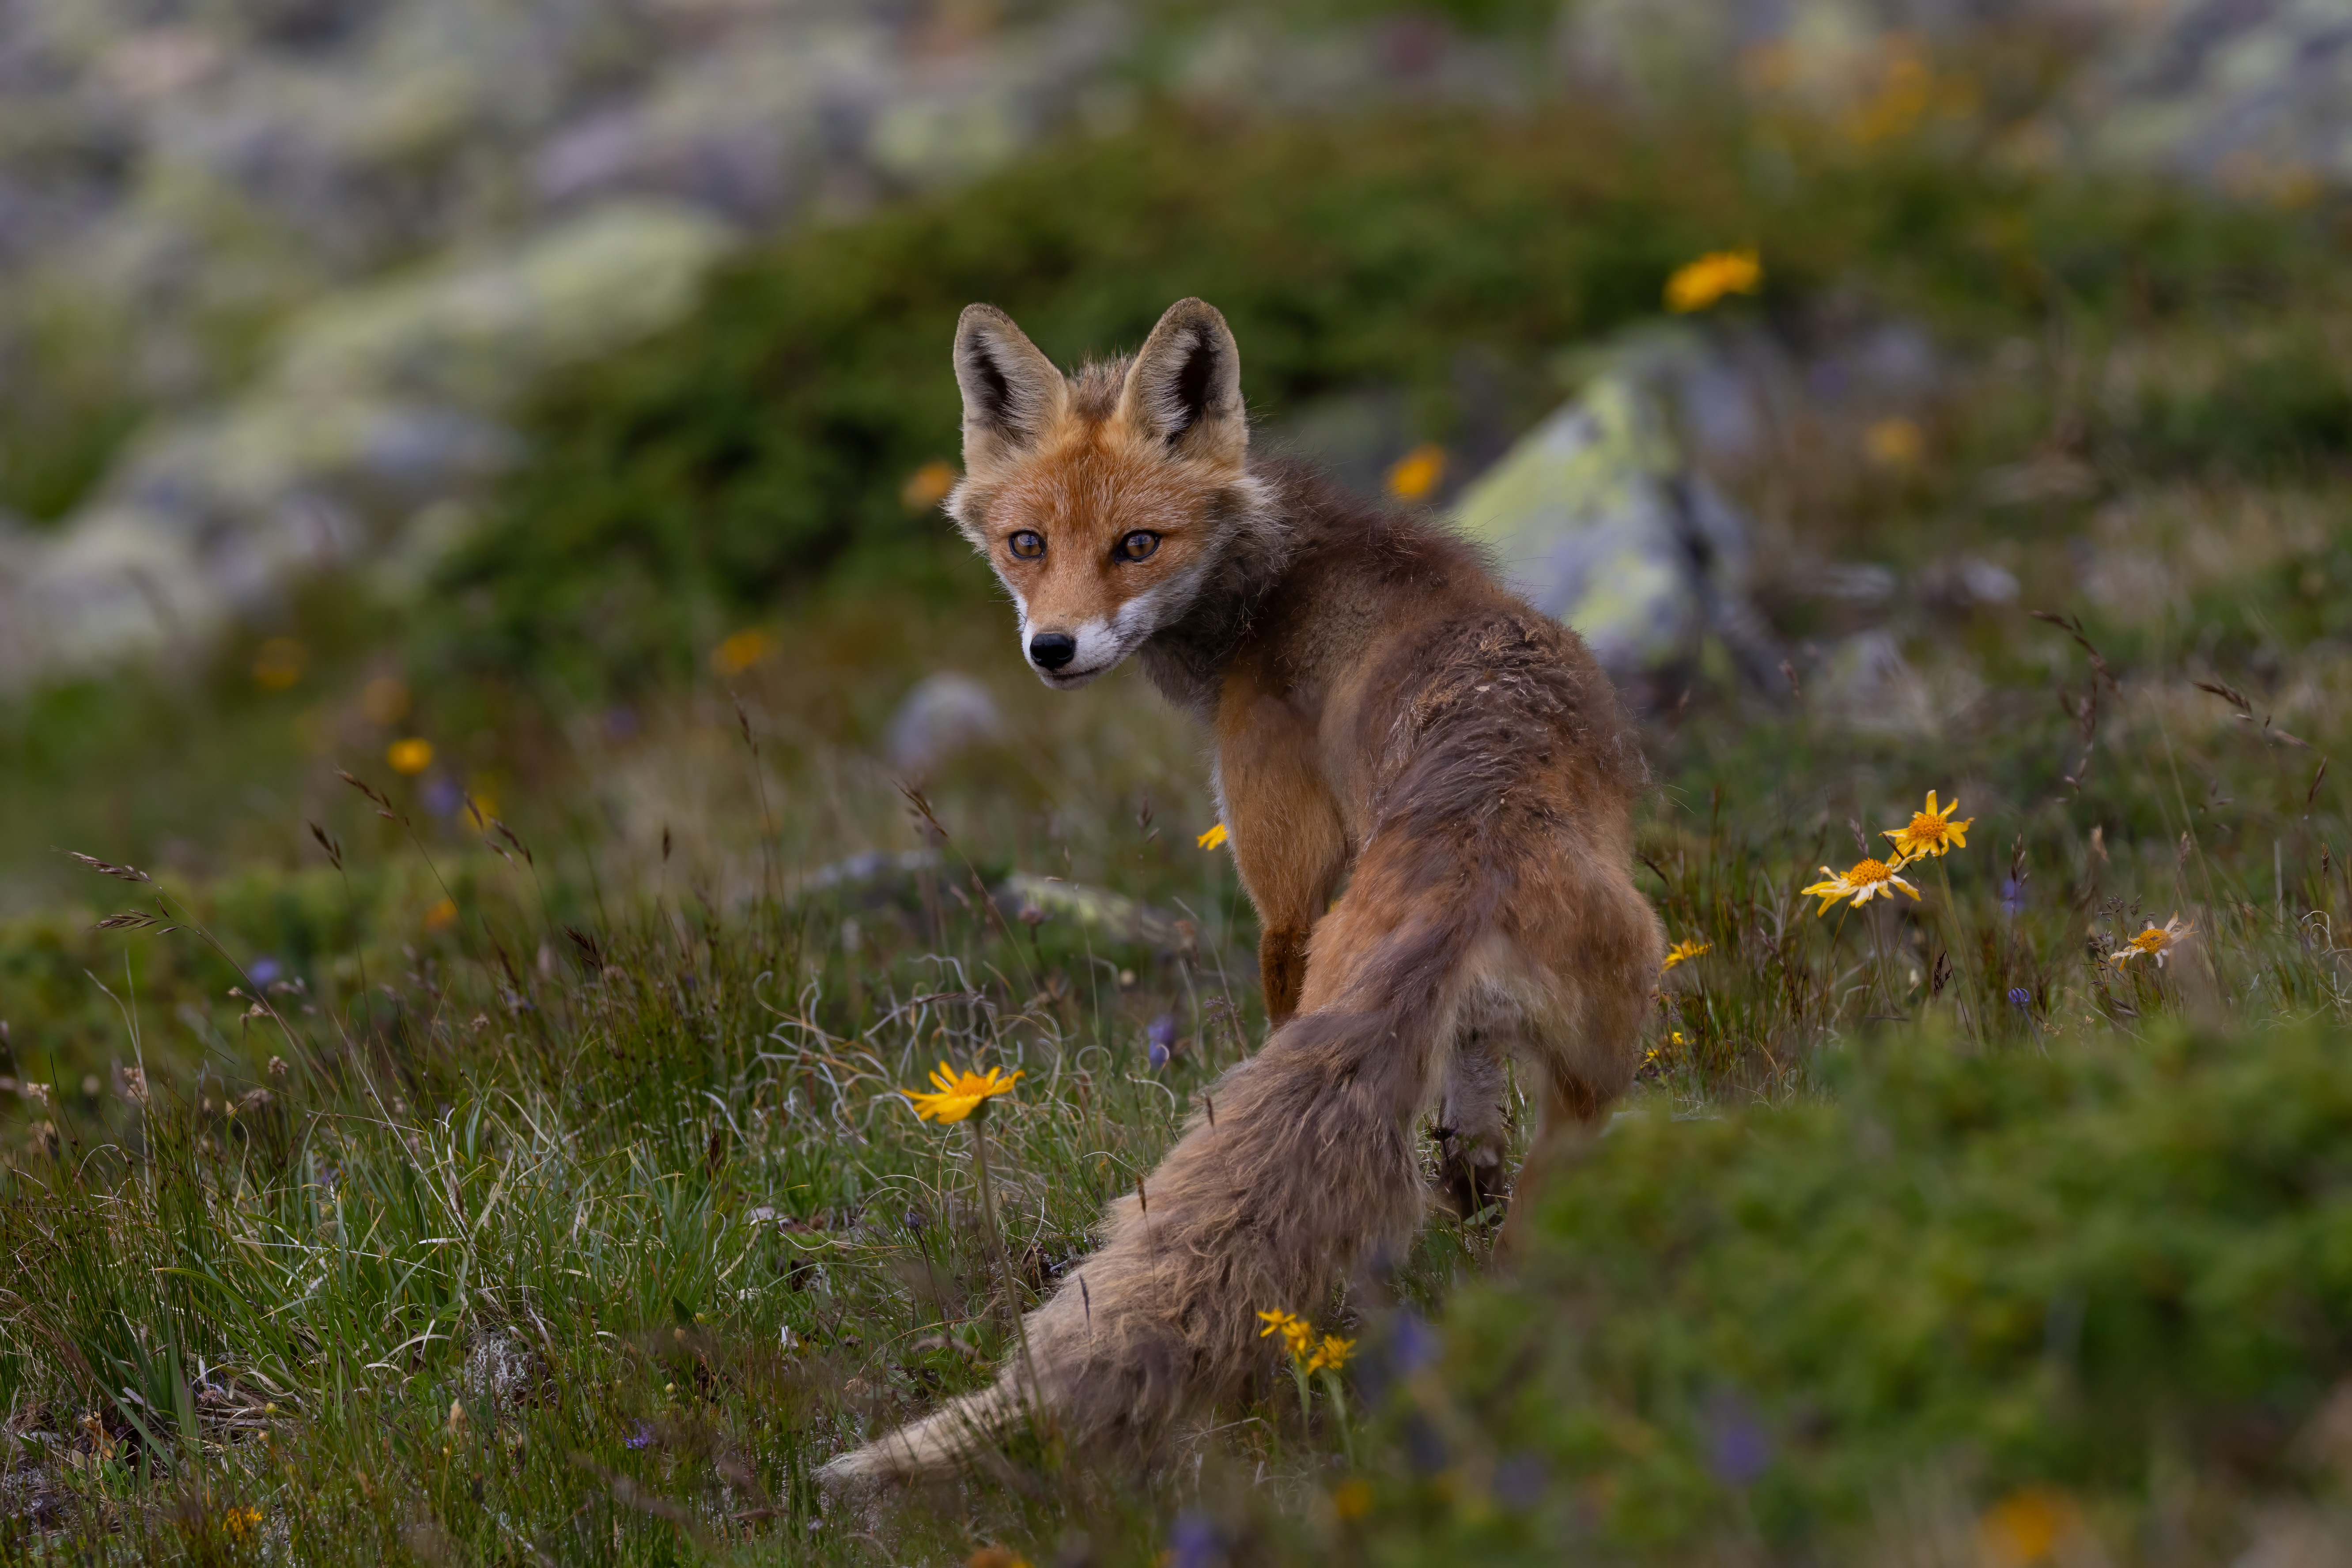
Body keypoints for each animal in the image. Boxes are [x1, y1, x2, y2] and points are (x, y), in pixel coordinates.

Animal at [819, 297, 1662, 1487]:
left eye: (1136, 545)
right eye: (1028, 545)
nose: (1051, 648)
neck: (1277, 586)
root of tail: (1473, 851)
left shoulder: (1283, 894)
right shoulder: (1469, 1035)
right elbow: (1468, 1105)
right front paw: (1465, 1173)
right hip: (1592, 1074)